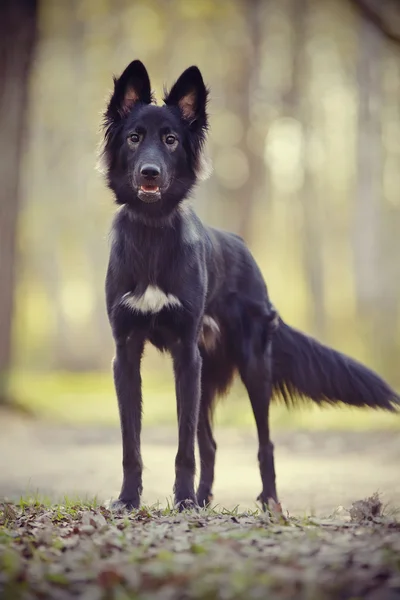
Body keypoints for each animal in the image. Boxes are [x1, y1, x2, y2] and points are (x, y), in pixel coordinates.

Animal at [99, 59, 396, 510]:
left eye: (170, 139)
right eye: (134, 138)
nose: (150, 173)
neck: (151, 233)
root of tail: (245, 250)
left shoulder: (185, 353)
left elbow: (183, 447)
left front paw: (181, 502)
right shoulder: (127, 354)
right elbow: (131, 443)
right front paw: (130, 500)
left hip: (251, 367)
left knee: (263, 444)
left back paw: (268, 503)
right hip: (203, 373)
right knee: (209, 443)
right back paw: (203, 499)